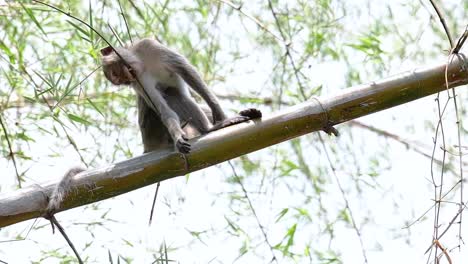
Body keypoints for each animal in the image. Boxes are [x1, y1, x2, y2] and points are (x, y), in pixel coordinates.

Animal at [101, 37, 262, 153]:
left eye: (116, 74)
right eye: (122, 81)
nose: (125, 81)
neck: (141, 63)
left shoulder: (148, 45)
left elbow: (188, 72)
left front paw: (217, 110)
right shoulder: (139, 82)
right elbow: (163, 109)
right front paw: (178, 136)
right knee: (171, 94)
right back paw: (209, 129)